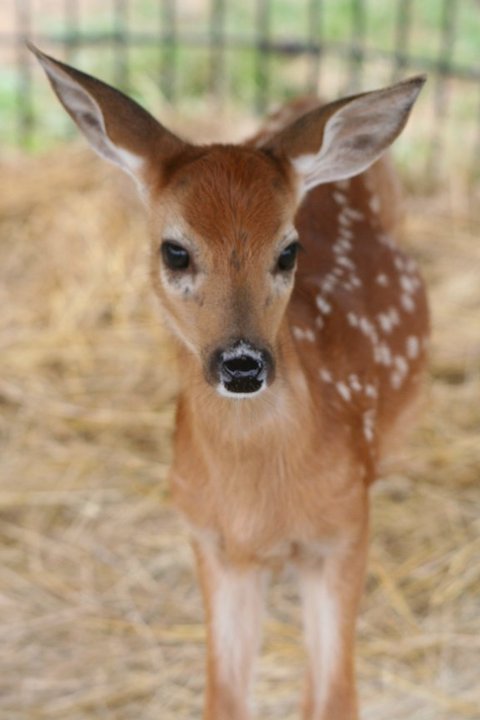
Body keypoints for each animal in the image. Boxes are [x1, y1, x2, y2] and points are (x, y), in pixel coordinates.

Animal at [30, 42, 428, 720]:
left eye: (289, 251)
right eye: (176, 251)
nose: (243, 364)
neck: (256, 502)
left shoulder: (344, 529)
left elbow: (335, 696)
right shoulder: (212, 541)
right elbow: (225, 696)